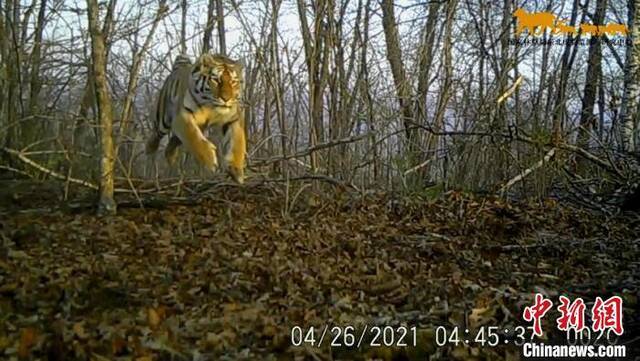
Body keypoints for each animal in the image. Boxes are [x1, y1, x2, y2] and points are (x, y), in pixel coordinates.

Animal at [146, 52, 246, 183]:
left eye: (234, 82)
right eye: (216, 80)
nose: (226, 99)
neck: (212, 106)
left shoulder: (233, 118)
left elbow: (238, 143)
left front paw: (237, 170)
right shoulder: (182, 116)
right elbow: (194, 138)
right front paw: (210, 162)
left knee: (172, 143)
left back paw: (171, 158)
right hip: (163, 120)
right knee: (156, 135)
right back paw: (149, 153)